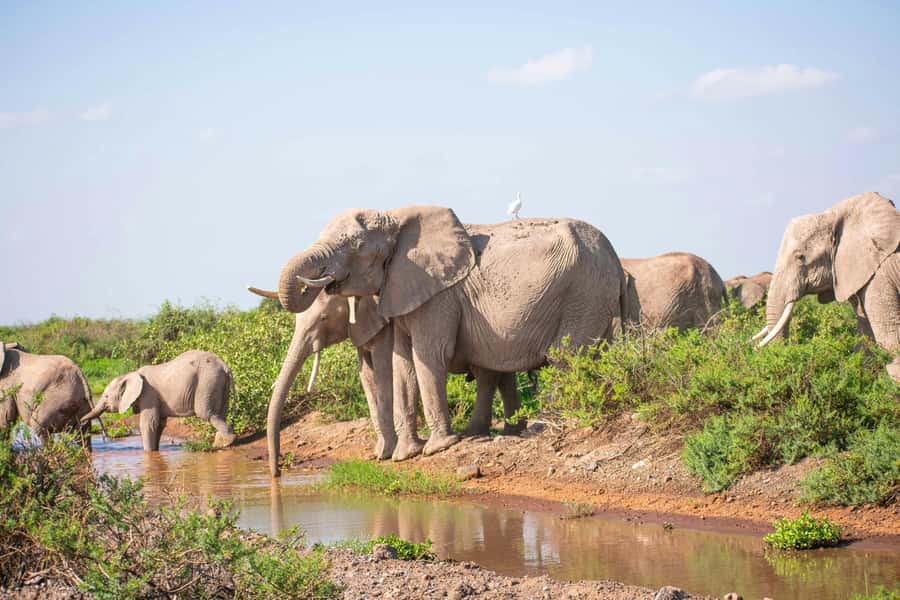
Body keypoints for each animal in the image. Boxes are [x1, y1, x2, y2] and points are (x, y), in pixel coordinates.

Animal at [81, 350, 237, 451]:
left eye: (106, 397)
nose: (81, 422)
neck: (131, 374)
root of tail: (225, 366)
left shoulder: (148, 394)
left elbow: (148, 423)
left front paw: (148, 454)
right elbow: (159, 424)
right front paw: (155, 451)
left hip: (207, 382)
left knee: (206, 413)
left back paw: (224, 443)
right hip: (219, 382)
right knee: (222, 412)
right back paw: (221, 442)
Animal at [246, 285, 523, 477]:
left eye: (323, 319)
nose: (277, 473)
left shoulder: (384, 326)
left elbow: (383, 370)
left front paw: (388, 453)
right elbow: (366, 375)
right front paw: (380, 453)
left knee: (488, 373)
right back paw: (513, 432)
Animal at [272, 206, 625, 461]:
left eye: (357, 246)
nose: (319, 280)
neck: (396, 218)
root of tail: (615, 257)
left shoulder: (438, 294)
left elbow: (428, 355)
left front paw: (437, 448)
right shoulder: (403, 291)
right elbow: (403, 363)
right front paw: (405, 456)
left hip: (585, 291)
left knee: (565, 358)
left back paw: (538, 429)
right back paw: (485, 433)